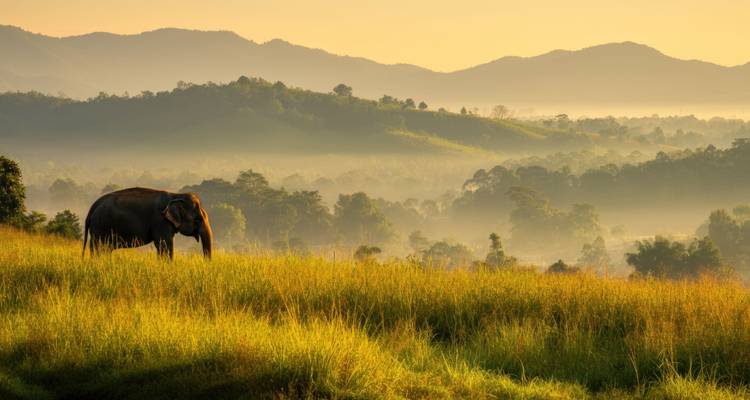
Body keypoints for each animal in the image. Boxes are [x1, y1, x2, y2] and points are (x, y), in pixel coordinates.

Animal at [82, 187, 213, 260]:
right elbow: (165, 245)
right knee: (101, 248)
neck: (175, 195)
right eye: (198, 220)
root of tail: (93, 207)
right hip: (101, 227)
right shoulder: (160, 221)